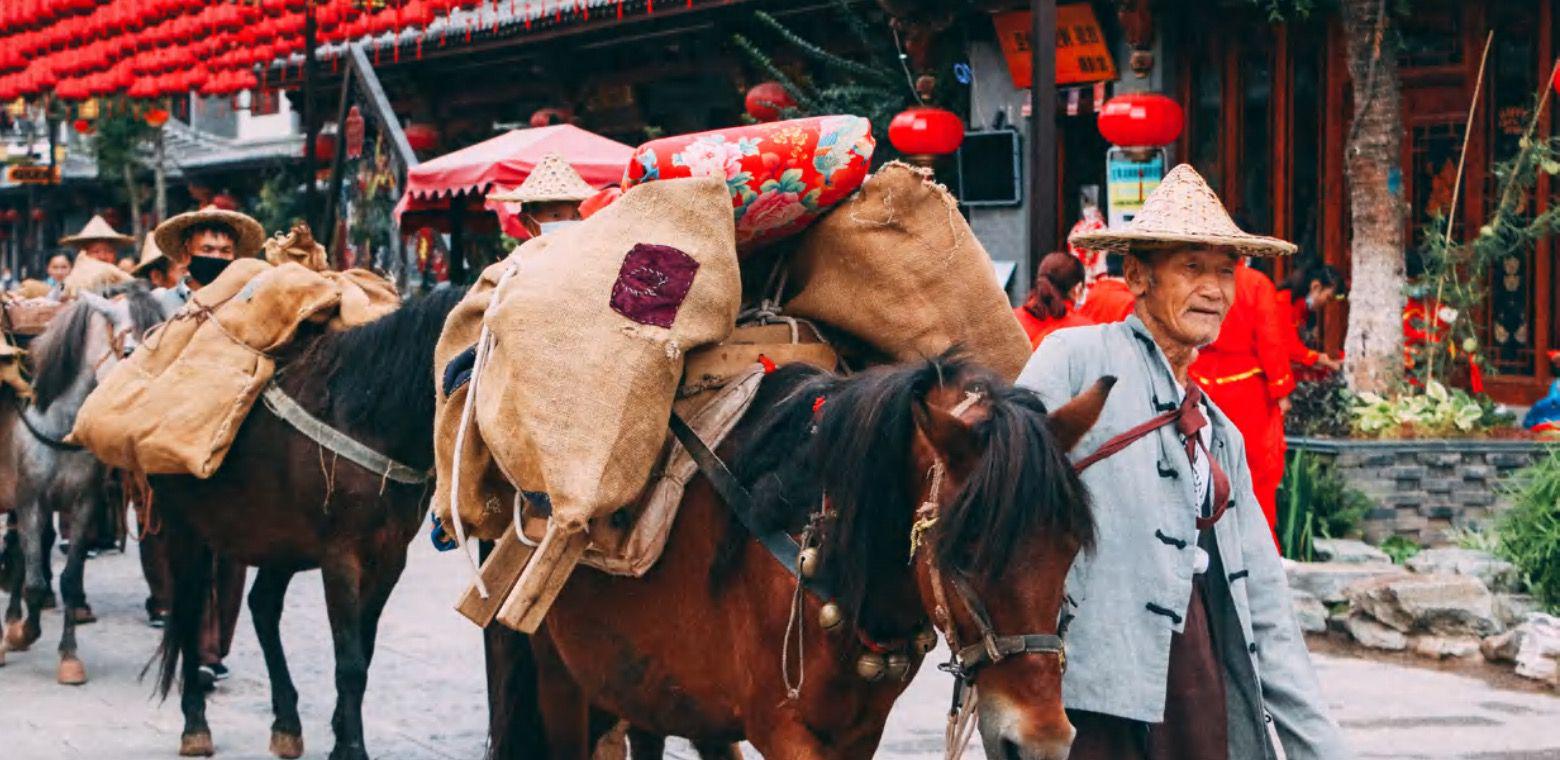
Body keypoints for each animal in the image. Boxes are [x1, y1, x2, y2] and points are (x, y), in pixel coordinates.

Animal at [1, 284, 170, 683]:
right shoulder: (30, 500)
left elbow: (70, 579)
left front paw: (68, 656)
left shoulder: (83, 505)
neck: (58, 423)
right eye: (130, 351)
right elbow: (35, 582)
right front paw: (23, 632)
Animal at [152, 287, 464, 760]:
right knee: (188, 613)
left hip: (277, 538)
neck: (372, 416)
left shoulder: (390, 556)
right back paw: (195, 724)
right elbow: (349, 661)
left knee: (262, 607)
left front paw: (339, 734)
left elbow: (363, 651)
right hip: (185, 531)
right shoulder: (340, 557)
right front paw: (351, 747)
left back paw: (286, 722)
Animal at [511, 357, 1110, 760]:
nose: (1042, 743)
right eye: (963, 554)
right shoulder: (783, 730)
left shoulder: (859, 732)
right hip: (559, 680)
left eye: (1068, 549)